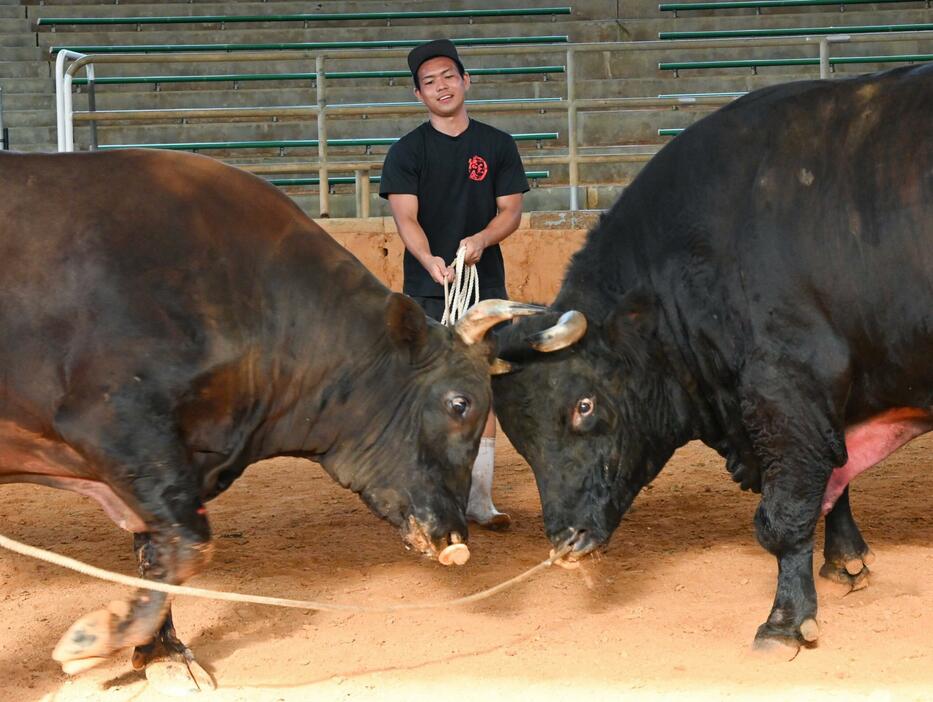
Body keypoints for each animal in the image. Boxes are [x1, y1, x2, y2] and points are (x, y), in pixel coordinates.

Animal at [0, 151, 540, 684]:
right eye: (459, 403)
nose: (456, 539)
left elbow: (161, 549)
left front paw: (163, 654)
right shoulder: (114, 422)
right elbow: (189, 544)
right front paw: (94, 639)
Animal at [492, 67, 928, 656]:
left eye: (584, 405)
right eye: (519, 437)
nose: (568, 540)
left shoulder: (786, 391)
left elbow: (785, 513)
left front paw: (785, 621)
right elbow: (832, 480)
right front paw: (847, 560)